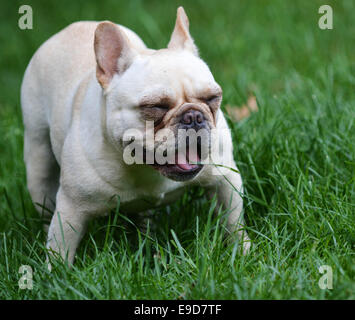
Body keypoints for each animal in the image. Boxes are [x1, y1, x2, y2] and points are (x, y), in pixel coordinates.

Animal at [21, 6, 250, 264]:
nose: (193, 117)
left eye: (212, 98)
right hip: (38, 158)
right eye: (156, 106)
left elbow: (234, 222)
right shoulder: (71, 208)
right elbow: (60, 248)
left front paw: (242, 252)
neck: (143, 167)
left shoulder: (225, 179)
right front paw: (57, 273)